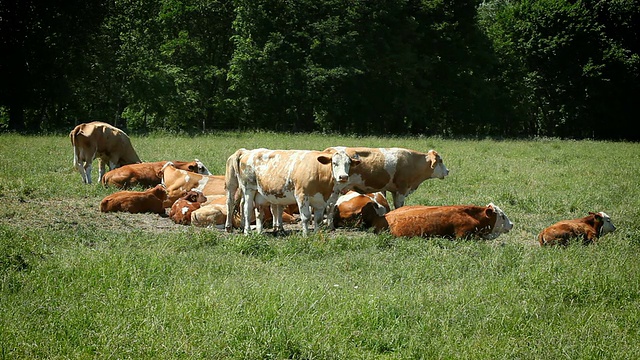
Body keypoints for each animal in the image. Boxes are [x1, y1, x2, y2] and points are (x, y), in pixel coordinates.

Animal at [225, 148, 360, 235]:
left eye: (348, 163)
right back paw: (246, 231)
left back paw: (260, 232)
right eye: (334, 163)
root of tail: (247, 152)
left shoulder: (320, 200)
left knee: (259, 212)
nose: (343, 177)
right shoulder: (302, 196)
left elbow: (318, 219)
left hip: (259, 194)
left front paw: (317, 235)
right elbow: (305, 217)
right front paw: (306, 235)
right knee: (245, 209)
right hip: (247, 188)